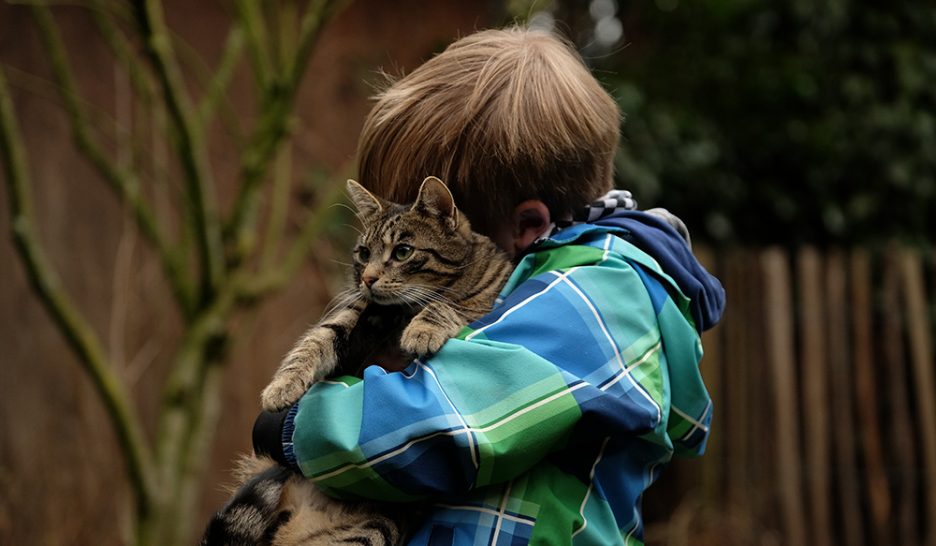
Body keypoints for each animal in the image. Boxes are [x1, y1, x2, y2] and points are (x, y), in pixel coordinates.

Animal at [200, 176, 516, 544]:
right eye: (364, 253)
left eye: (402, 252)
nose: (368, 278)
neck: (399, 313)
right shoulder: (353, 315)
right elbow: (312, 342)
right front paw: (281, 387)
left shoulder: (482, 302)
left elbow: (450, 305)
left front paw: (422, 329)